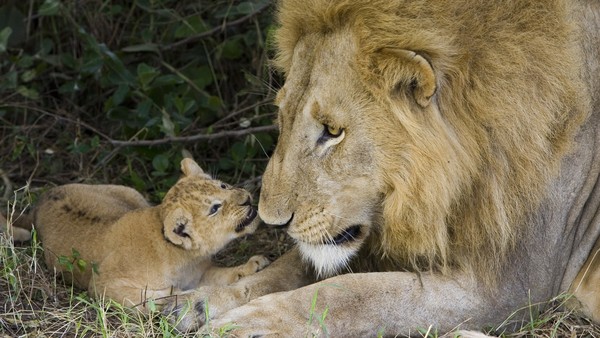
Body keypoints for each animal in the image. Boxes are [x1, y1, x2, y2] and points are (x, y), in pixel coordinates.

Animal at [168, 0, 600, 336]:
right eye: (282, 115)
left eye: (333, 131)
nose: (272, 222)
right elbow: (286, 267)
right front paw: (195, 304)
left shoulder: (510, 287)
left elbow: (356, 293)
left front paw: (252, 323)